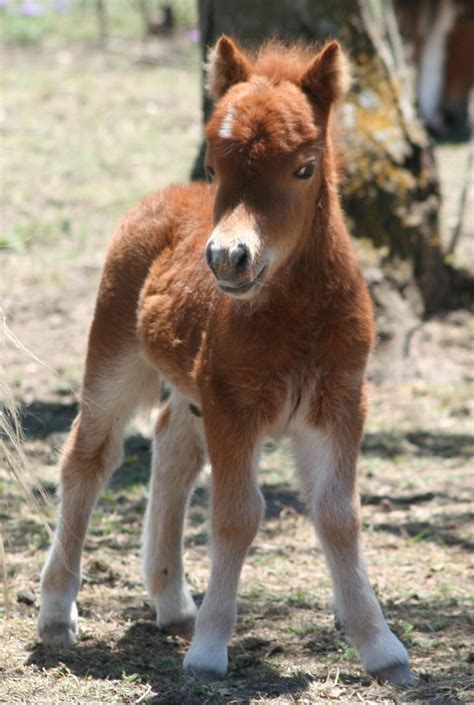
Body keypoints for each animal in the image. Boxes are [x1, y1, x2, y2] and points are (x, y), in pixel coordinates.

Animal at [38, 36, 414, 685]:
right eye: (214, 168)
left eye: (304, 167)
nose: (227, 258)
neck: (295, 317)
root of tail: (161, 197)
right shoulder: (234, 404)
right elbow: (237, 516)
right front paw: (210, 653)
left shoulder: (340, 402)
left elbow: (339, 515)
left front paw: (383, 650)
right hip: (115, 355)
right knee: (89, 459)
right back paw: (59, 616)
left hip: (193, 393)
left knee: (172, 452)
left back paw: (172, 603)